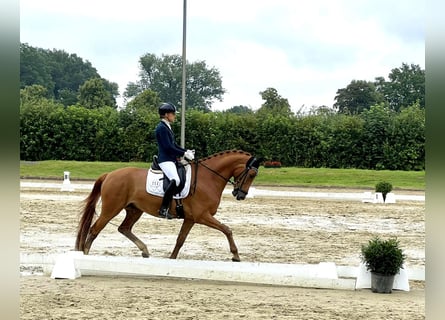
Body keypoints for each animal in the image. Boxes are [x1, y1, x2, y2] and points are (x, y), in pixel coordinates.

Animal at [73, 149, 260, 262]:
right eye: (251, 174)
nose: (240, 195)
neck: (208, 178)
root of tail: (109, 174)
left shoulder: (191, 219)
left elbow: (180, 239)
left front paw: (172, 259)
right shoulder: (202, 216)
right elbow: (227, 230)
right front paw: (236, 255)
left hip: (134, 210)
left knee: (124, 228)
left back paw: (145, 250)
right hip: (111, 209)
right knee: (95, 229)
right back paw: (86, 255)